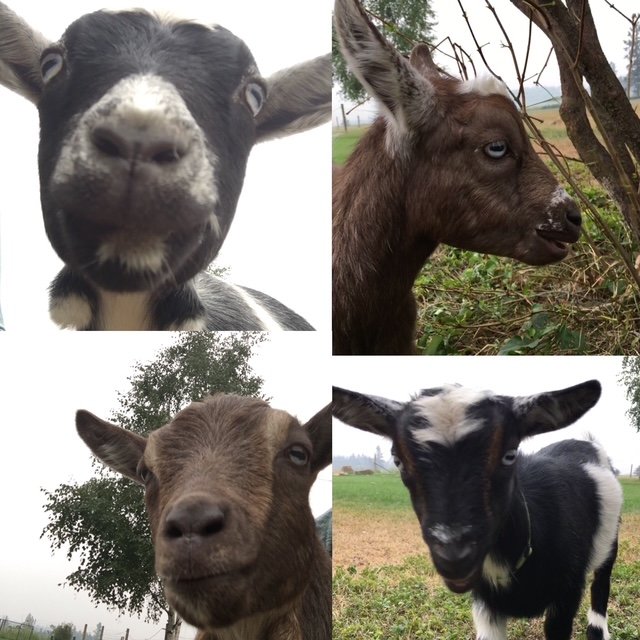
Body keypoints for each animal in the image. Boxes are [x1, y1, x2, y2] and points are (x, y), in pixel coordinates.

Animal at [333, 380, 622, 640]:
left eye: (510, 455)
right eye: (398, 461)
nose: (454, 557)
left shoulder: (567, 596)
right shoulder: (485, 606)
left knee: (601, 583)